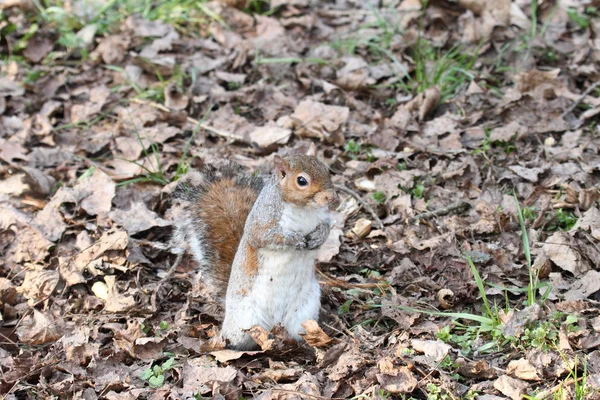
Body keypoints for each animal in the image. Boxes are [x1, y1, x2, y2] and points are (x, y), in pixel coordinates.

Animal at [173, 145, 340, 350]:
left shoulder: (322, 217)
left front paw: (318, 237)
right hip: (245, 319)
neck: (303, 209)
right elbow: (264, 236)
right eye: (302, 181)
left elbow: (326, 227)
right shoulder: (262, 222)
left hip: (303, 313)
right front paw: (294, 239)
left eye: (327, 170)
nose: (331, 197)